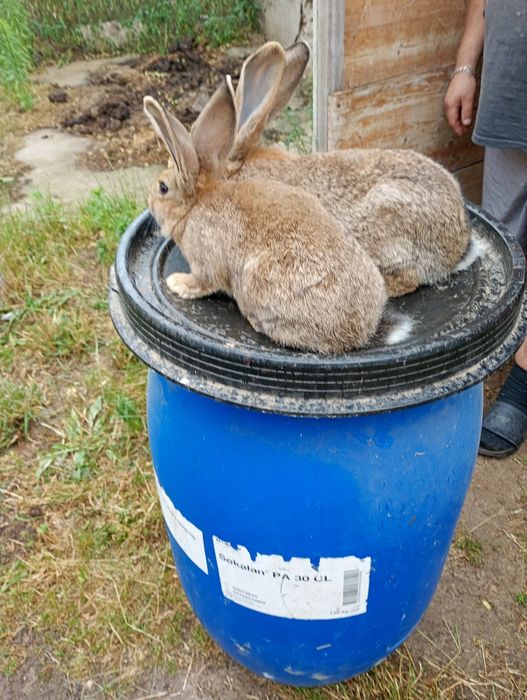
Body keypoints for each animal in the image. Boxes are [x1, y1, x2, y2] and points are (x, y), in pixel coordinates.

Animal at [143, 80, 412, 354]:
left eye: (163, 188)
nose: (149, 201)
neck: (195, 205)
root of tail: (359, 332)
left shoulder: (205, 264)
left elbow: (203, 282)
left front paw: (177, 283)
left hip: (256, 283)